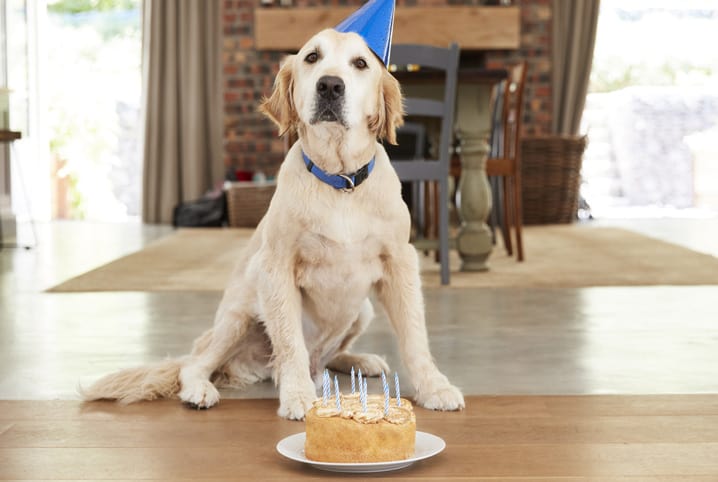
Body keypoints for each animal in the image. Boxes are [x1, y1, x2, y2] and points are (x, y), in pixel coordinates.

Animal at [81, 29, 466, 418]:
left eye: (360, 63)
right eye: (312, 57)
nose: (330, 85)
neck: (340, 182)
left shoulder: (400, 261)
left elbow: (415, 336)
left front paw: (434, 387)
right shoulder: (277, 266)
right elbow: (290, 340)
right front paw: (296, 395)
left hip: (362, 311)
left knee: (329, 357)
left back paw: (361, 360)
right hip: (239, 315)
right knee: (195, 365)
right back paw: (201, 390)